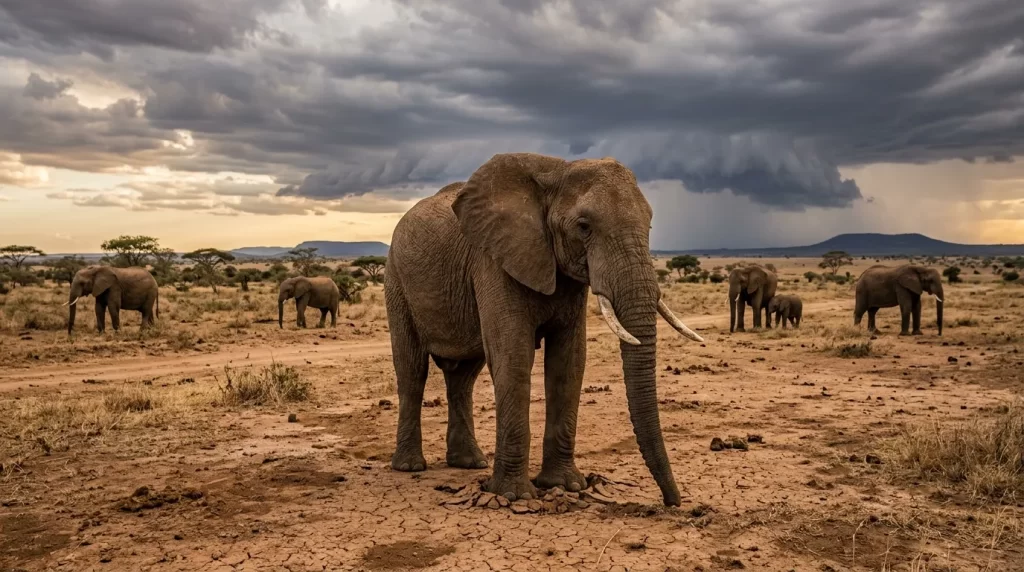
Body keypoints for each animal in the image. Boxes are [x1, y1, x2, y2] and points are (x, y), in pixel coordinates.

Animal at [384, 153, 704, 506]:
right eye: (584, 226)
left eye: (648, 225)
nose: (673, 501)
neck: (558, 170)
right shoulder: (494, 260)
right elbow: (513, 355)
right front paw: (514, 495)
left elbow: (569, 361)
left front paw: (566, 485)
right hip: (396, 281)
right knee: (412, 371)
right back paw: (410, 467)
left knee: (463, 377)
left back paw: (469, 464)